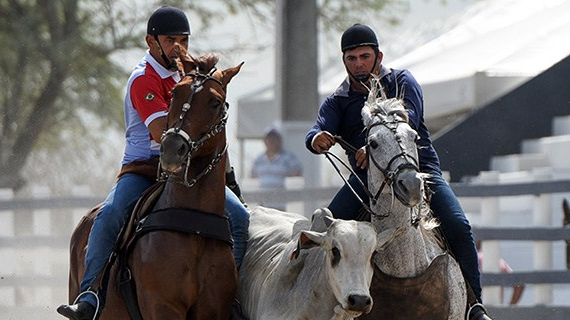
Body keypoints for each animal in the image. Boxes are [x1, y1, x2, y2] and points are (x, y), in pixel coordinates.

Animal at [67, 48, 244, 320]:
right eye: (174, 94)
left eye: (215, 102)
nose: (172, 149)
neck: (195, 228)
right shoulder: (163, 306)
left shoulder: (213, 310)